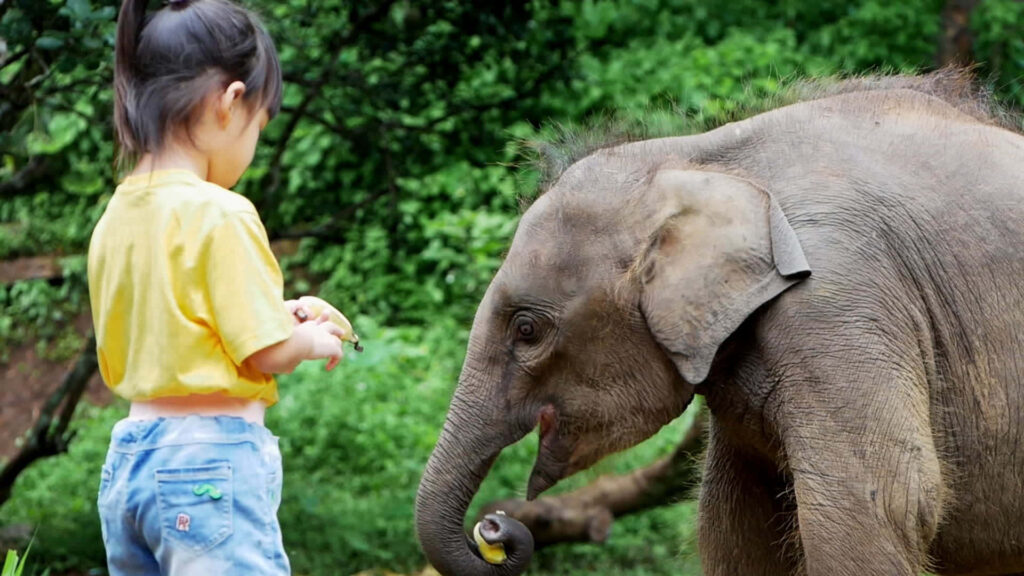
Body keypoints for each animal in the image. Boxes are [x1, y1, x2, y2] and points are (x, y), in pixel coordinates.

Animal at [415, 70, 1024, 576]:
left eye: (527, 331)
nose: (494, 527)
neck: (697, 157)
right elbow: (735, 522)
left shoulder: (840, 297)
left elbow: (884, 500)